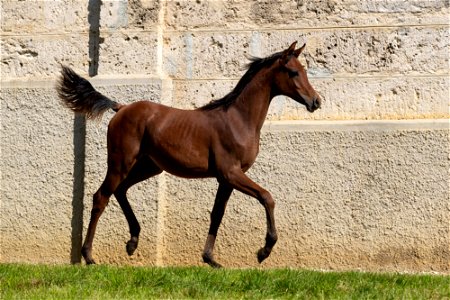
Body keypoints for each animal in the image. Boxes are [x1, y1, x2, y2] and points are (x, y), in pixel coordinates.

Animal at [58, 41, 322, 268]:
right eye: (293, 72)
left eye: (304, 71)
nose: (316, 101)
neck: (238, 119)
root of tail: (120, 108)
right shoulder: (231, 173)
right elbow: (267, 197)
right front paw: (263, 251)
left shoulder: (226, 179)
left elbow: (217, 214)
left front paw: (210, 259)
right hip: (120, 163)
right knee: (101, 197)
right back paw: (89, 256)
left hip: (149, 166)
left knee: (120, 190)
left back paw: (132, 242)